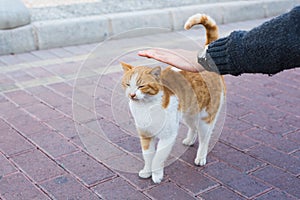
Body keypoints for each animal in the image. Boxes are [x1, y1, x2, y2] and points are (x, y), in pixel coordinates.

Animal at [120, 13, 226, 184]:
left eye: (141, 86)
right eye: (128, 84)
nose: (132, 95)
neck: (146, 107)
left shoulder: (167, 136)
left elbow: (157, 158)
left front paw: (156, 175)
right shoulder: (145, 135)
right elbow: (147, 156)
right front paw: (147, 171)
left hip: (206, 118)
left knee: (204, 139)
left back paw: (200, 157)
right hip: (189, 113)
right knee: (193, 127)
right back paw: (189, 140)